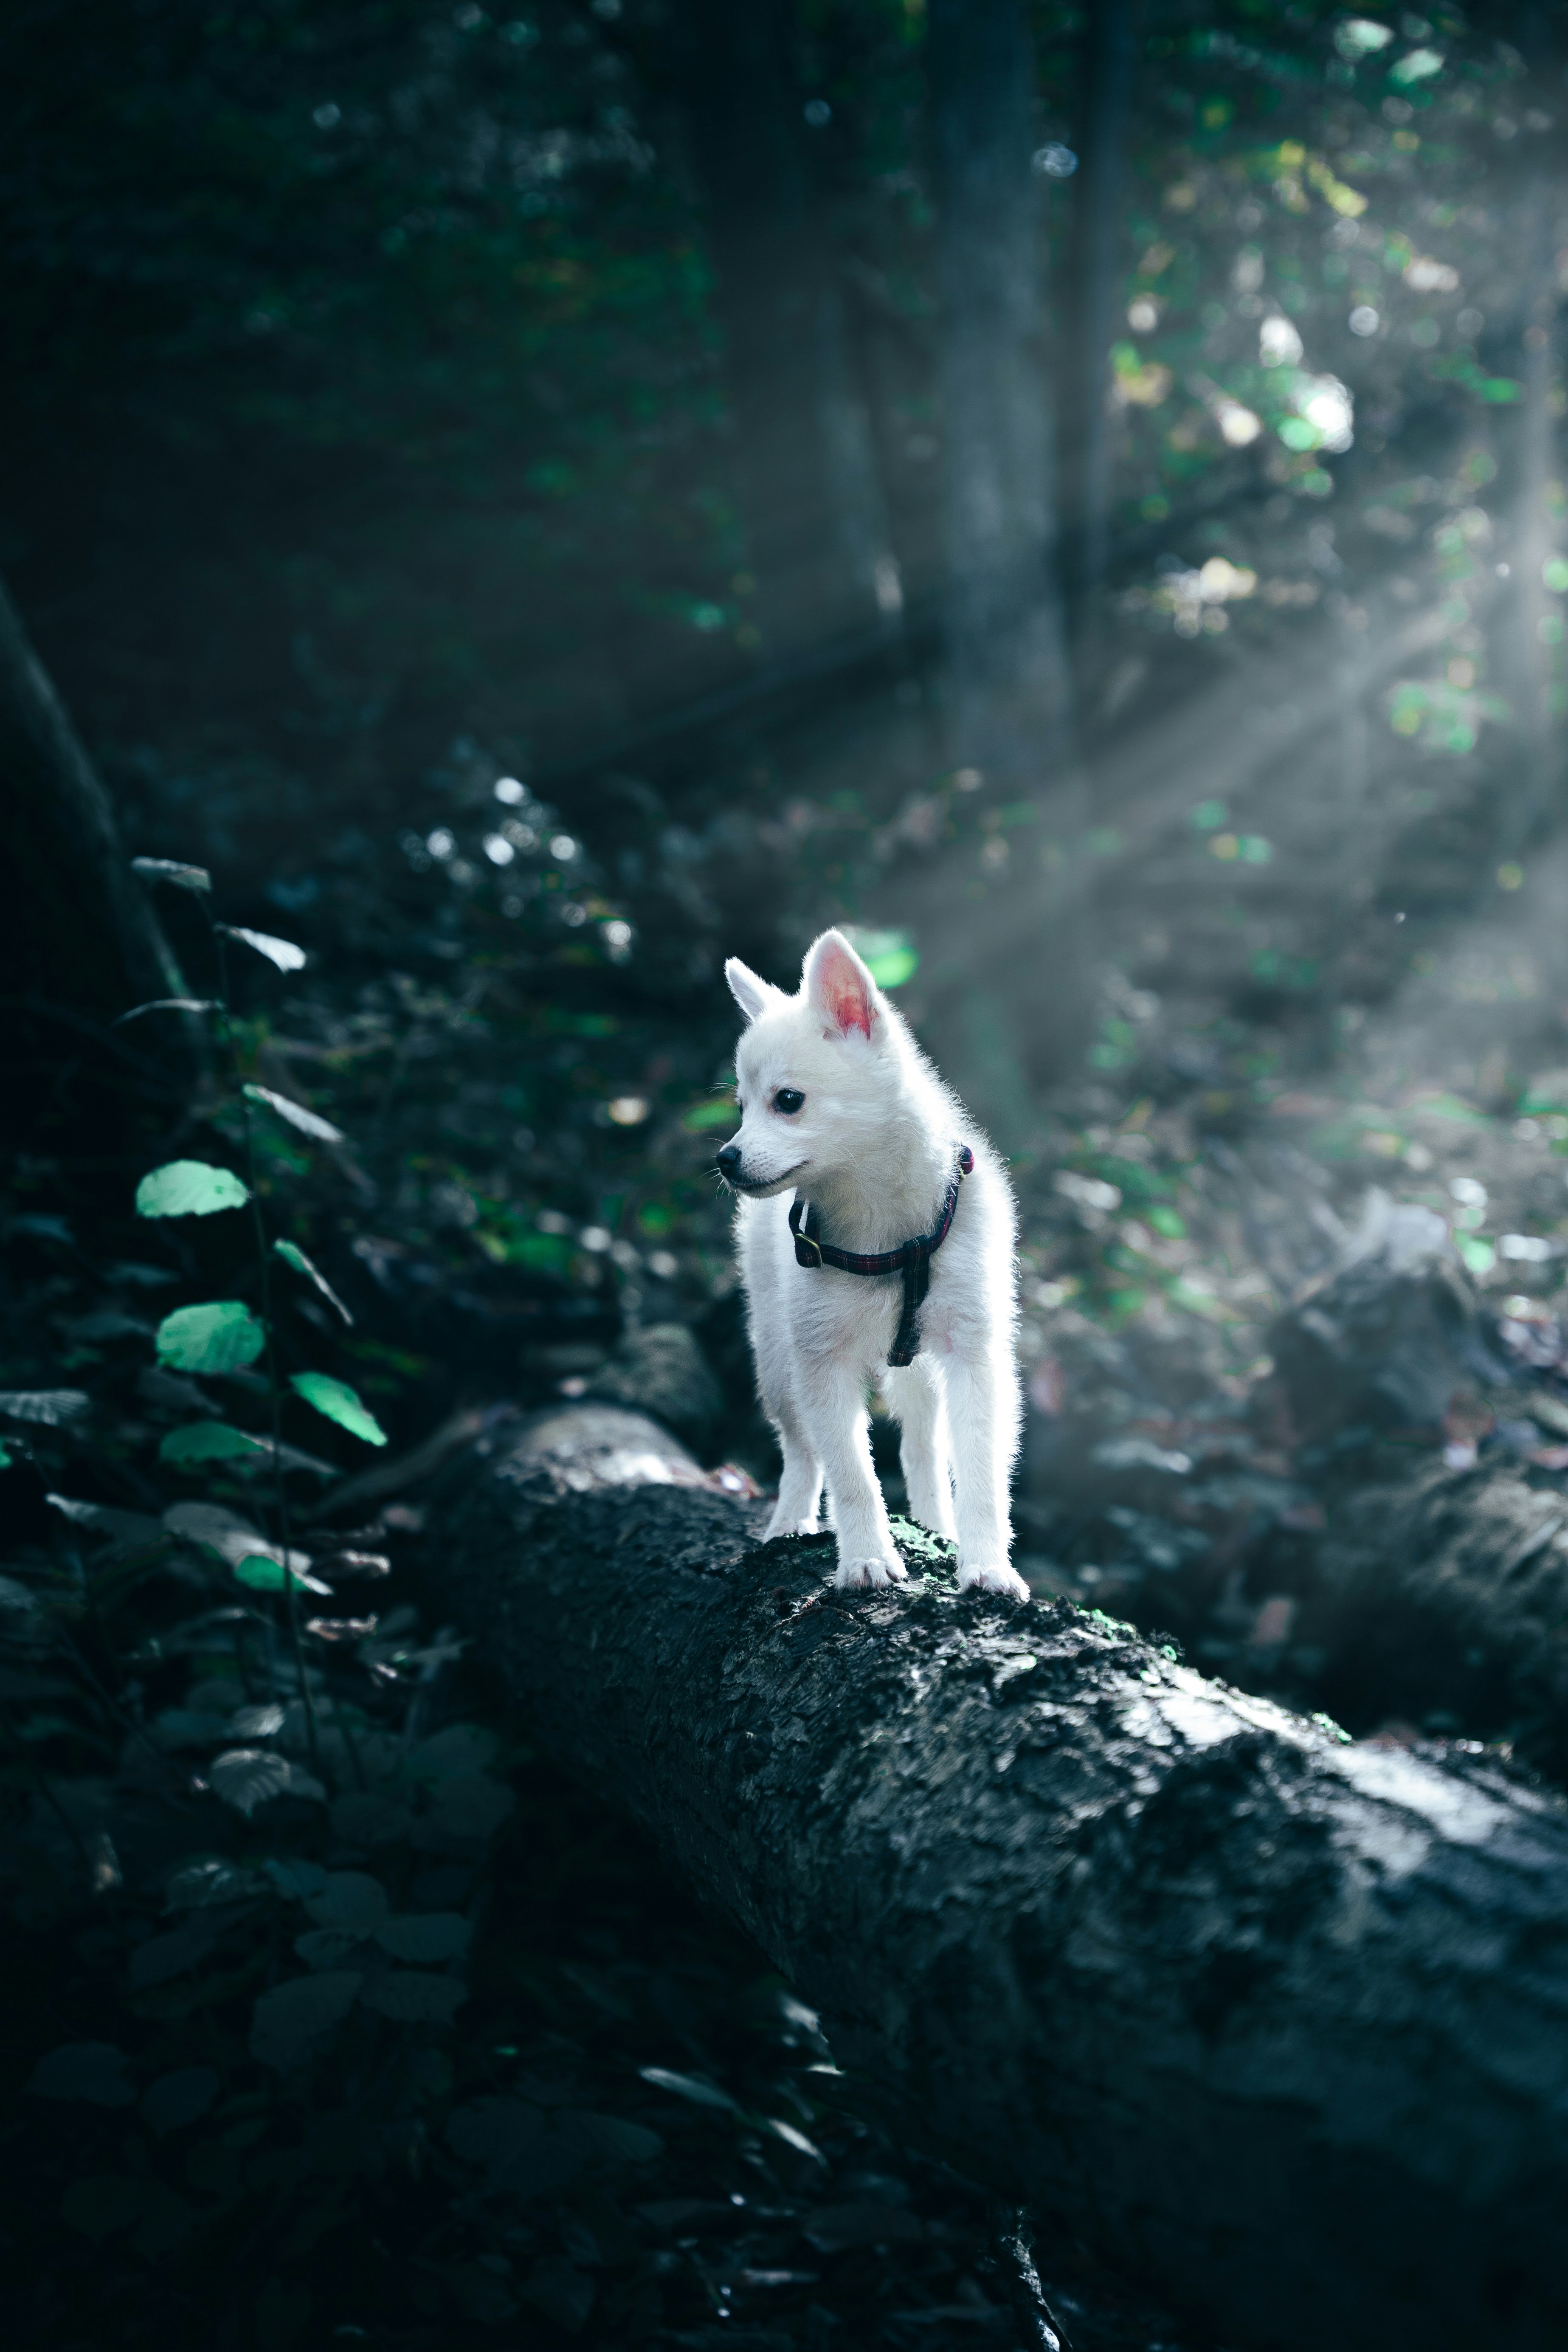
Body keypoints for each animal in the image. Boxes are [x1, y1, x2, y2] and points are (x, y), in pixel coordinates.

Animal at [715, 927, 1030, 1608]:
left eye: (787, 1101)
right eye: (742, 1106)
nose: (726, 1157)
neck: (887, 1226)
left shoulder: (975, 1354)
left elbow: (981, 1473)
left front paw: (987, 1565)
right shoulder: (821, 1360)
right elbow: (853, 1473)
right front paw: (866, 1558)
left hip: (917, 1370)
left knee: (922, 1444)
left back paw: (937, 1523)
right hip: (777, 1359)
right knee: (800, 1451)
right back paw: (789, 1523)